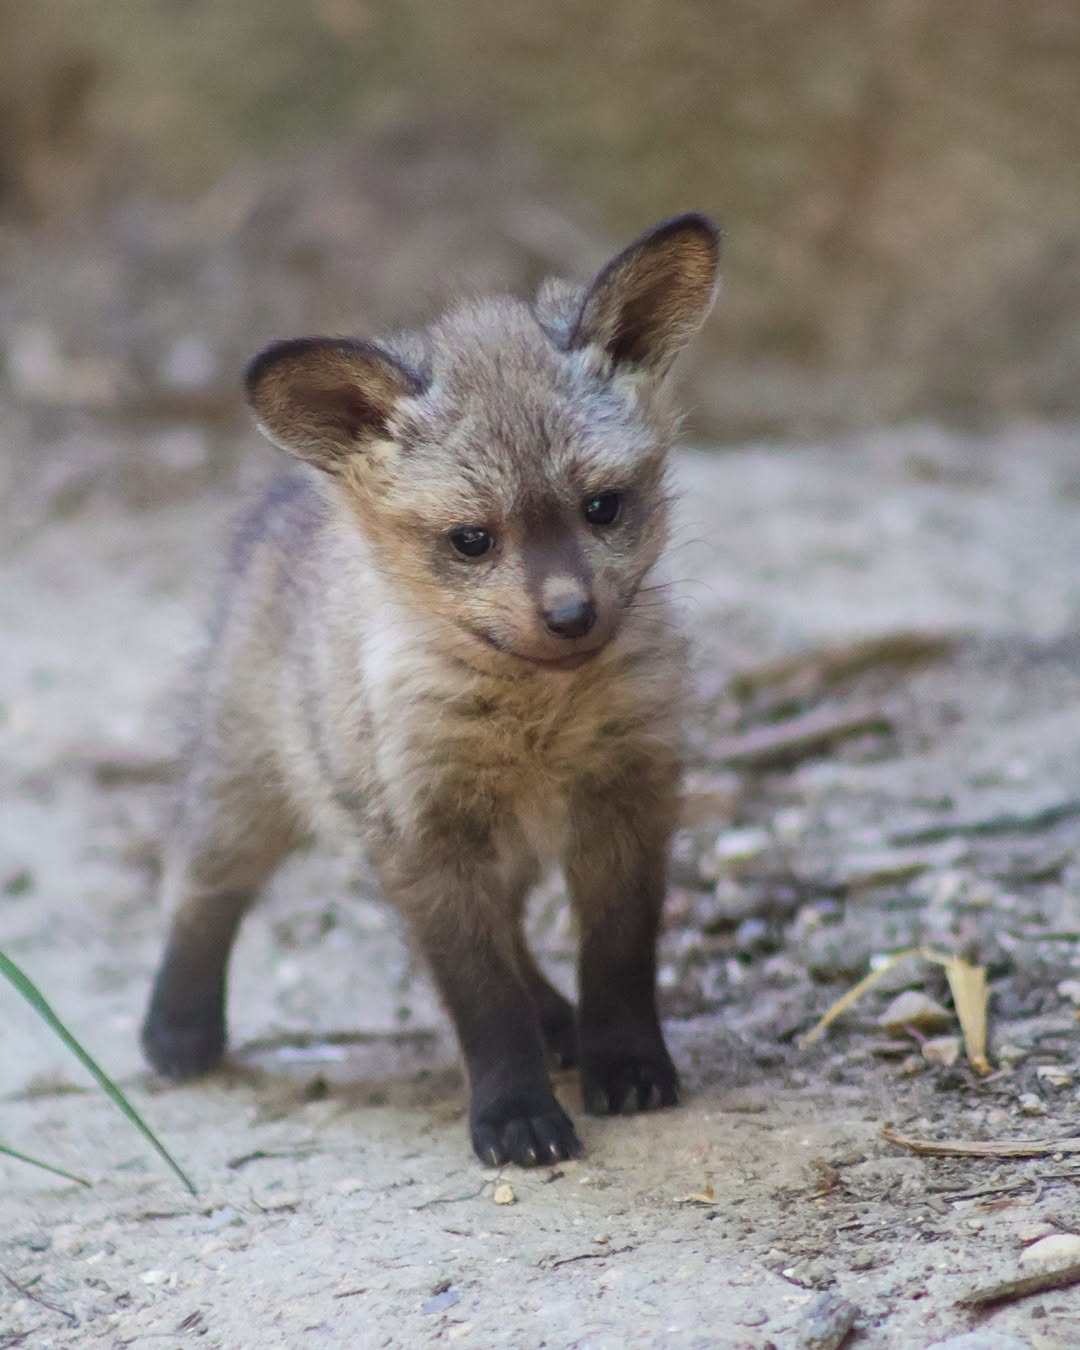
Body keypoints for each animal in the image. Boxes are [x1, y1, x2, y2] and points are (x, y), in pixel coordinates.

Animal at [140, 213, 721, 1167]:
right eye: (471, 539)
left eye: (602, 507)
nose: (571, 615)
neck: (536, 726)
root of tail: (286, 492)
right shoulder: (424, 830)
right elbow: (481, 999)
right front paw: (516, 1115)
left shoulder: (629, 795)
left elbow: (616, 958)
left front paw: (627, 1065)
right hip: (247, 786)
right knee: (198, 888)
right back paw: (177, 1031)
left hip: (497, 851)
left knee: (516, 934)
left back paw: (560, 1024)